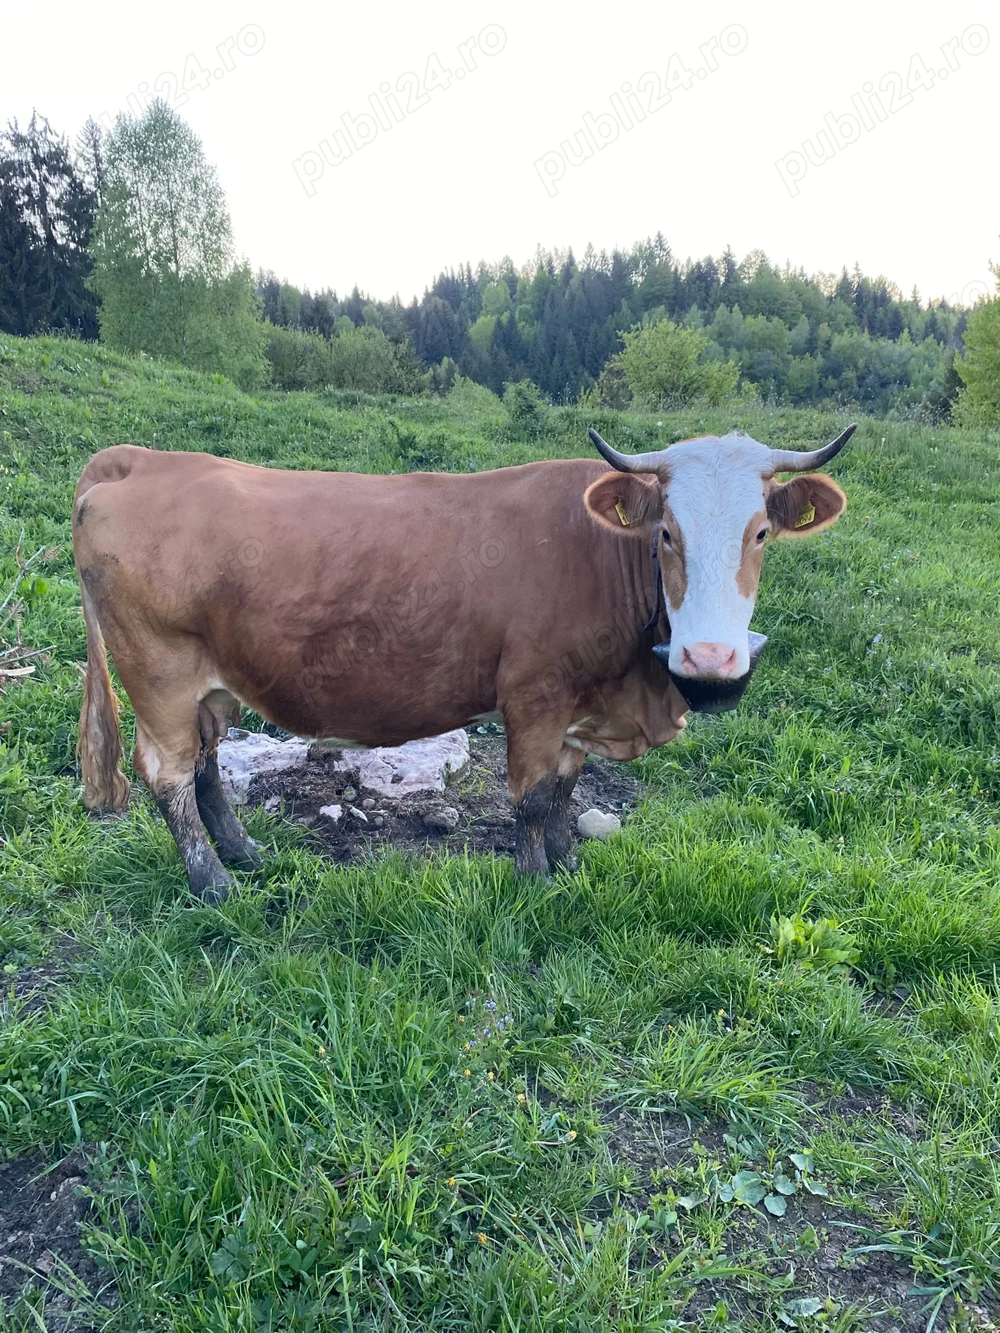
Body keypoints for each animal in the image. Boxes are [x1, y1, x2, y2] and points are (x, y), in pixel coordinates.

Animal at [73, 424, 854, 900]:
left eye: (761, 533)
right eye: (666, 532)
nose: (710, 660)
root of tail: (141, 460)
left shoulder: (581, 706)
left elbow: (567, 789)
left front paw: (567, 861)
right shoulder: (534, 695)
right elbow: (532, 796)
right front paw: (535, 879)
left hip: (210, 684)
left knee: (206, 762)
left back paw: (243, 851)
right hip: (160, 673)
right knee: (168, 773)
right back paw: (213, 882)